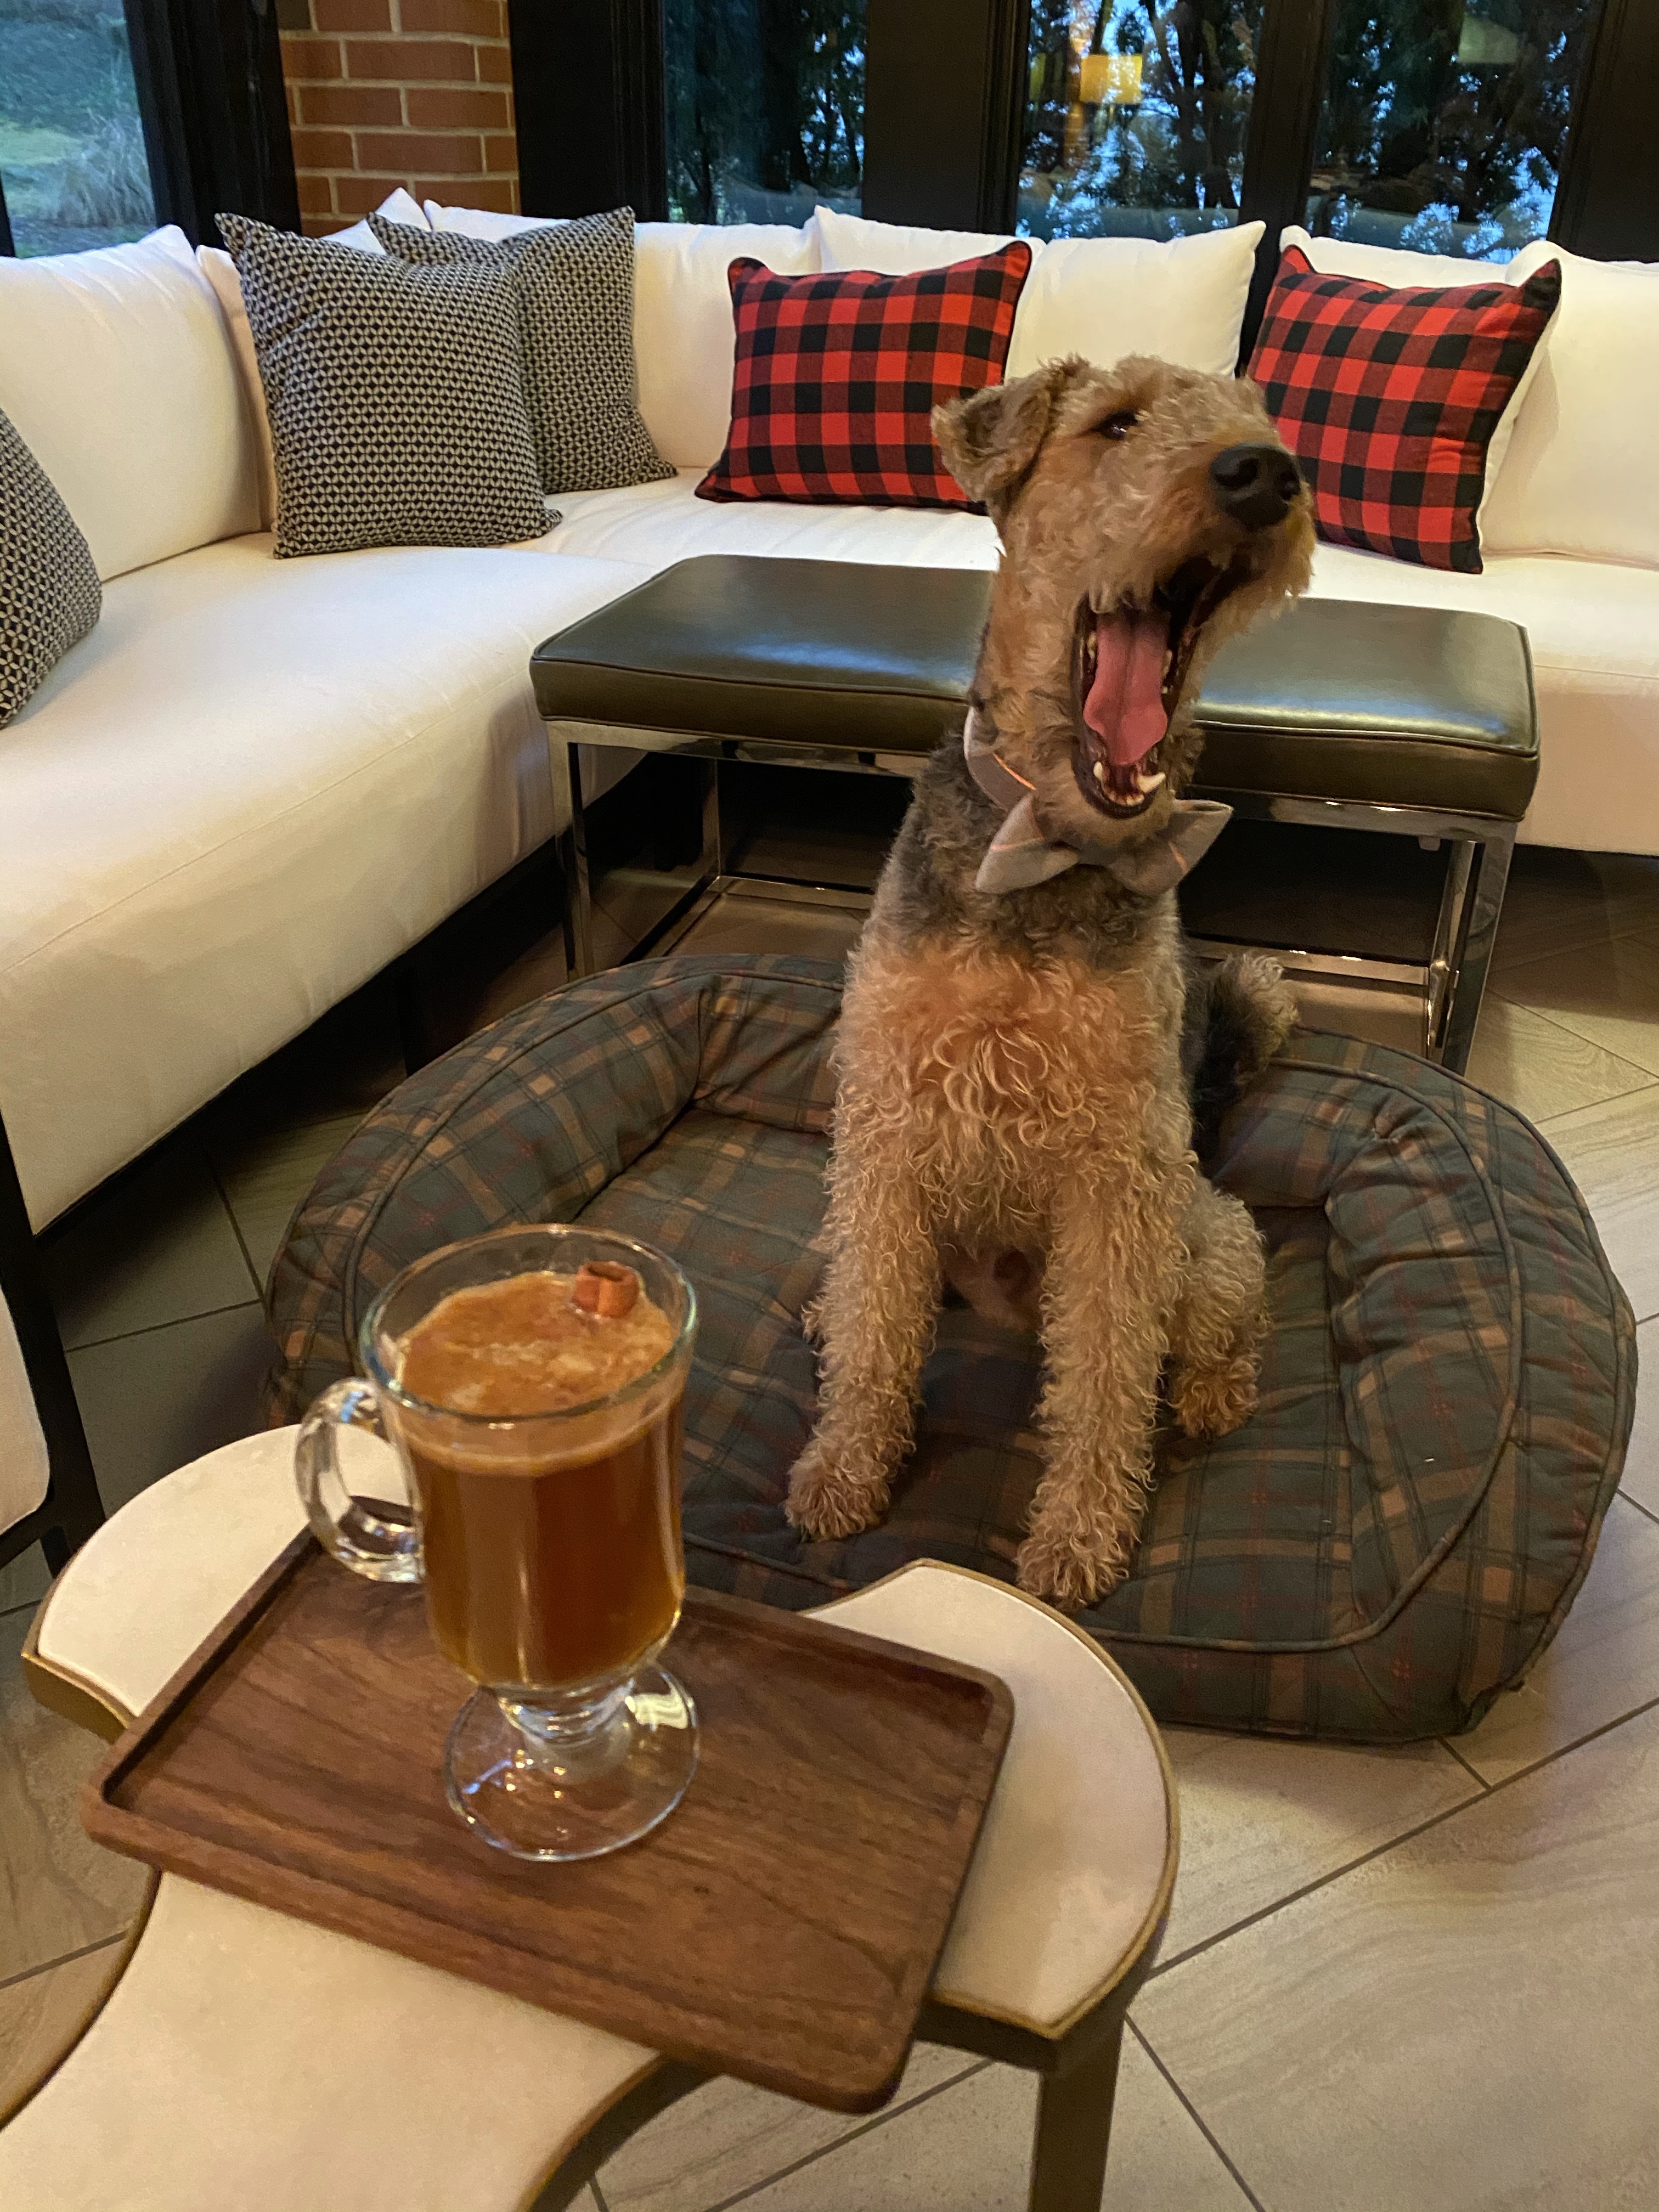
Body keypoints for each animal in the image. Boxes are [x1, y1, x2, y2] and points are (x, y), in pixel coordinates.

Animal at [785, 353, 1316, 1608]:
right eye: (1115, 423)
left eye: (1258, 416)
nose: (1263, 472)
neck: (1042, 849)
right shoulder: (886, 1130)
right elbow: (879, 1339)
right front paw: (840, 1475)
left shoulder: (1117, 1179)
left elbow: (1108, 1379)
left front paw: (1077, 1542)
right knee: (878, 1295)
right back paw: (825, 1308)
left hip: (1200, 1231)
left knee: (1214, 1323)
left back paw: (1212, 1396)